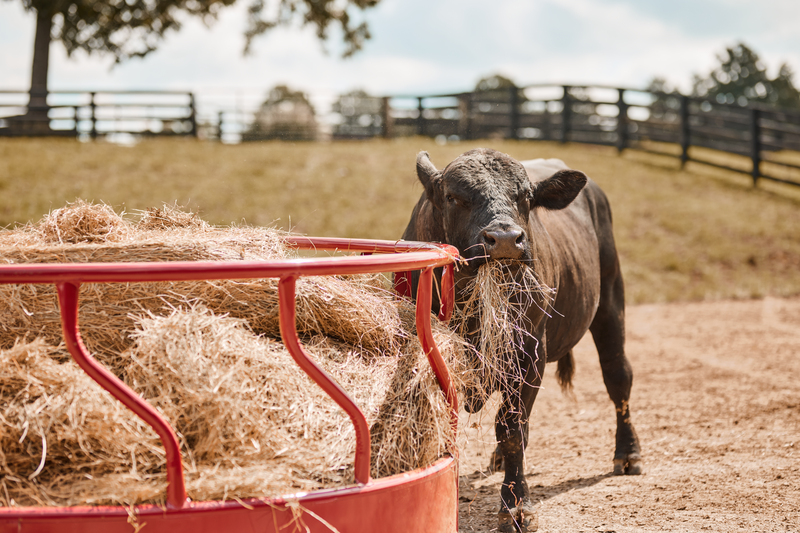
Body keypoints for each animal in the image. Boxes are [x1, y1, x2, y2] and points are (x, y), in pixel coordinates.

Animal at [399, 148, 642, 532]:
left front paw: (515, 506)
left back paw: (628, 453)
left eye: (526, 196)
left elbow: (512, 430)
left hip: (610, 303)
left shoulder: (529, 355)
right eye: (453, 196)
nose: (505, 240)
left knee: (618, 376)